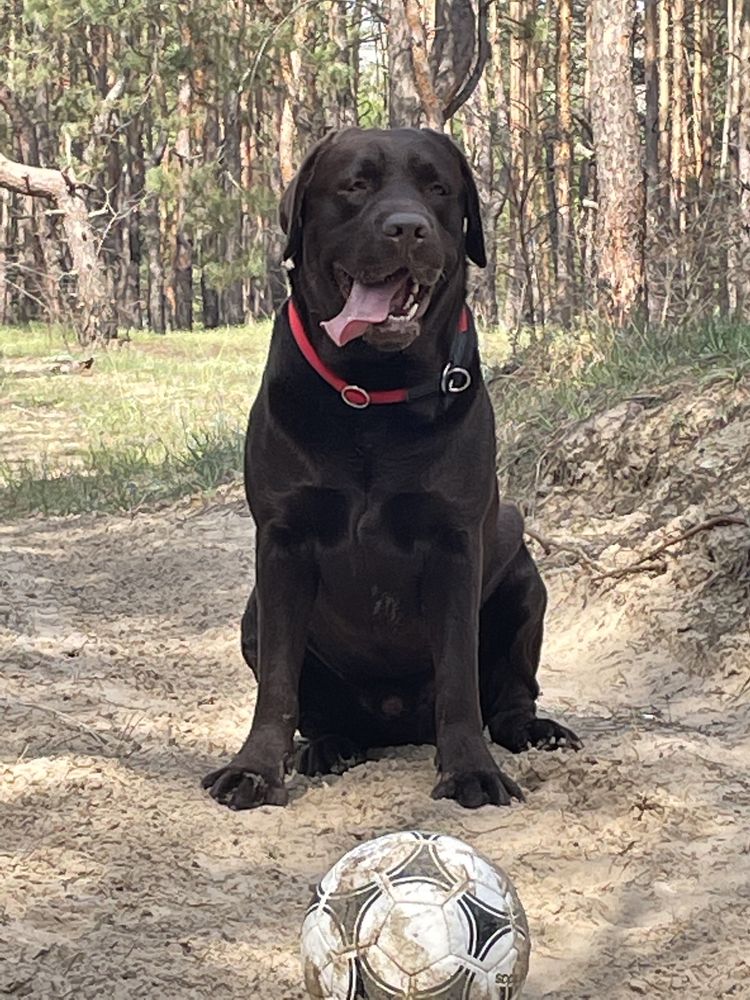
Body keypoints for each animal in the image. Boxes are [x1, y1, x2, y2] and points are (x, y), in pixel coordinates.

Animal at [203, 127, 584, 812]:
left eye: (438, 188)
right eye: (355, 184)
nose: (408, 228)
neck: (371, 395)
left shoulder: (455, 544)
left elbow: (458, 673)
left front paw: (470, 770)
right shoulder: (282, 543)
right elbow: (277, 682)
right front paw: (256, 769)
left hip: (523, 575)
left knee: (510, 693)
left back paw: (534, 730)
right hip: (252, 614)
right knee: (316, 706)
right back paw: (329, 746)